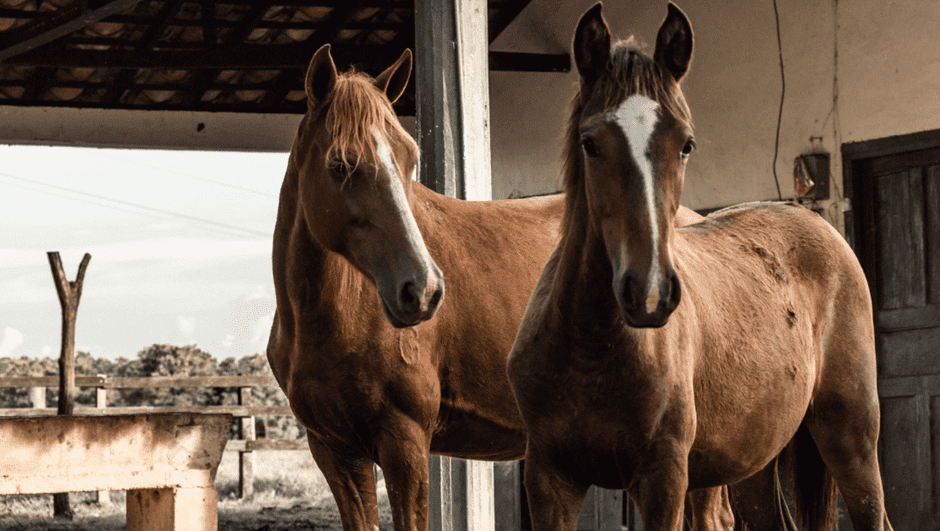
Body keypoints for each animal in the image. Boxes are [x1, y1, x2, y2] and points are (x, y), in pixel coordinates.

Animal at [265, 43, 736, 531]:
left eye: (410, 158)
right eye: (339, 164)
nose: (423, 289)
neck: (334, 317)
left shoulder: (404, 441)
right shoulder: (334, 451)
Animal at [506, 3, 893, 531]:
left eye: (686, 143)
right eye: (590, 142)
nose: (649, 292)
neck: (590, 348)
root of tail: (817, 223)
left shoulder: (663, 479)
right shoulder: (549, 480)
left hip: (850, 435)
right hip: (754, 462)